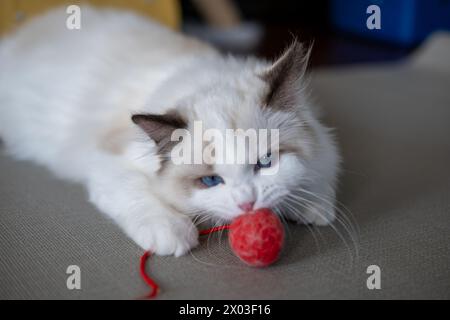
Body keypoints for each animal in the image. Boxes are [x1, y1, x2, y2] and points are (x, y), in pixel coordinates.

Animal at [0, 7, 338, 256]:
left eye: (265, 163)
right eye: (210, 181)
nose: (247, 205)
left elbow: (317, 173)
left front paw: (312, 205)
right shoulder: (106, 159)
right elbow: (139, 193)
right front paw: (172, 233)